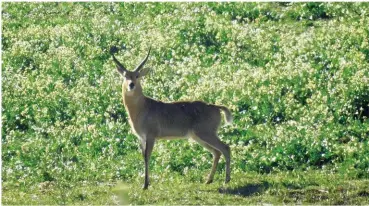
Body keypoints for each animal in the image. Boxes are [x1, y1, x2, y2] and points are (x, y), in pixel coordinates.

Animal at [111, 46, 233, 190]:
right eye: (125, 76)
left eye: (137, 75)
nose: (131, 84)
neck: (142, 108)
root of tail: (216, 107)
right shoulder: (141, 137)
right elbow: (143, 156)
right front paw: (146, 183)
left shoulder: (151, 136)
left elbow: (147, 156)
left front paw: (145, 185)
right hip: (198, 136)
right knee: (216, 152)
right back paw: (208, 180)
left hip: (206, 134)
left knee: (225, 147)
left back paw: (226, 180)